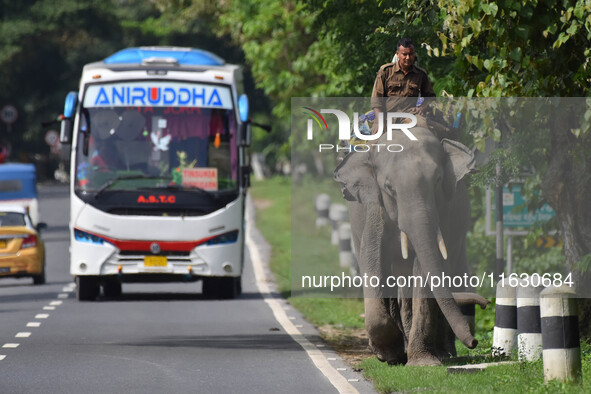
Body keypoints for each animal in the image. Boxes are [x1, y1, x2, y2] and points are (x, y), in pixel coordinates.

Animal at [336, 124, 488, 366]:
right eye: (389, 187)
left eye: (438, 180)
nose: (474, 342)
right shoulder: (374, 212)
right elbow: (372, 262)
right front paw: (389, 354)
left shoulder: (445, 213)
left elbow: (424, 272)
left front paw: (424, 363)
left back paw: (441, 353)